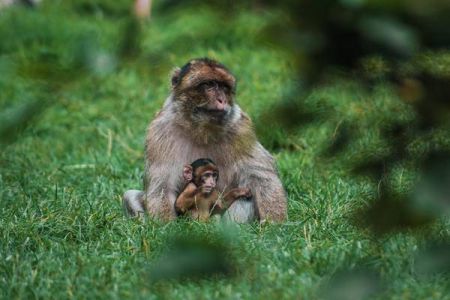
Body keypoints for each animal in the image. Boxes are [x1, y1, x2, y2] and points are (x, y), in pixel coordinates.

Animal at [121, 58, 286, 223]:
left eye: (224, 87)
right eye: (209, 85)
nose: (222, 100)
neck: (200, 131)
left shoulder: (241, 129)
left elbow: (260, 176)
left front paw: (273, 224)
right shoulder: (159, 131)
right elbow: (162, 185)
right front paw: (168, 226)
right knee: (129, 196)